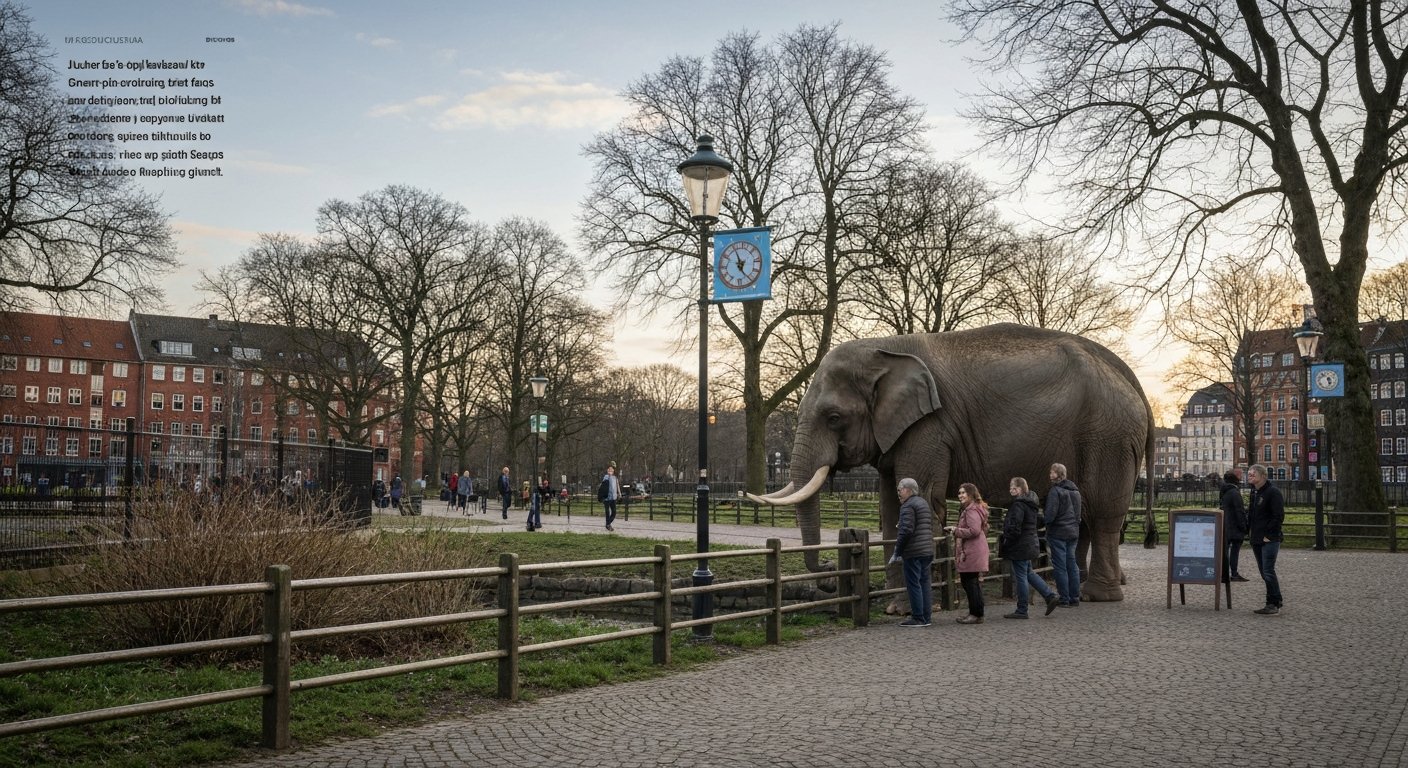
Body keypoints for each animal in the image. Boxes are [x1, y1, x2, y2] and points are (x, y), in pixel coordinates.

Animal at [748, 323, 1155, 612]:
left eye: (834, 418)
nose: (829, 568)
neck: (884, 349)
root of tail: (1132, 381)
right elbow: (892, 509)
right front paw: (896, 607)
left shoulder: (931, 426)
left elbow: (922, 499)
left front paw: (908, 606)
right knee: (1084, 514)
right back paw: (1077, 589)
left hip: (1108, 436)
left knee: (1102, 514)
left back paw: (1096, 596)